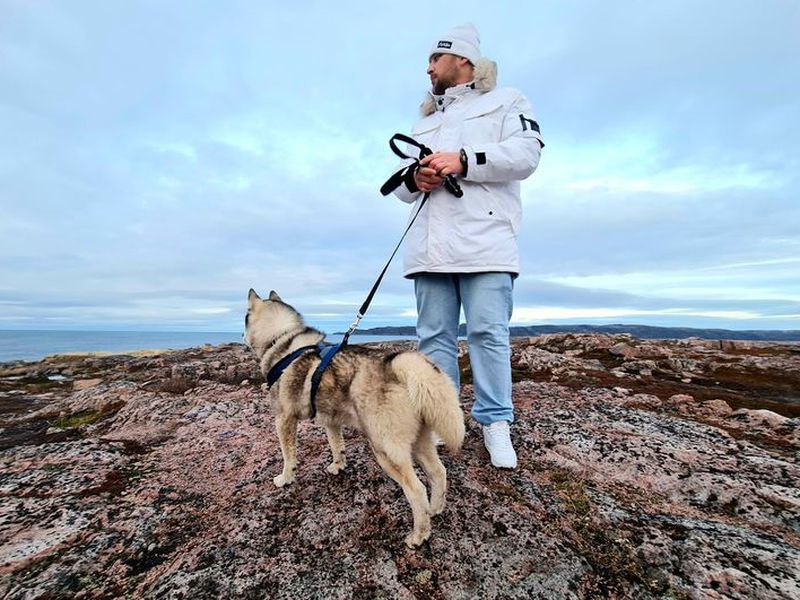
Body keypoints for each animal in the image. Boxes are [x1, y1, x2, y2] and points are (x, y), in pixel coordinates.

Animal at [247, 288, 466, 548]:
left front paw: (285, 478)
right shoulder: (331, 420)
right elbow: (336, 446)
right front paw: (338, 465)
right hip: (420, 442)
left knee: (417, 490)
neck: (283, 339)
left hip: (385, 451)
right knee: (438, 472)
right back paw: (436, 509)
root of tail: (398, 366)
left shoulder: (284, 420)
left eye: (245, 316)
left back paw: (419, 534)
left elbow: (288, 456)